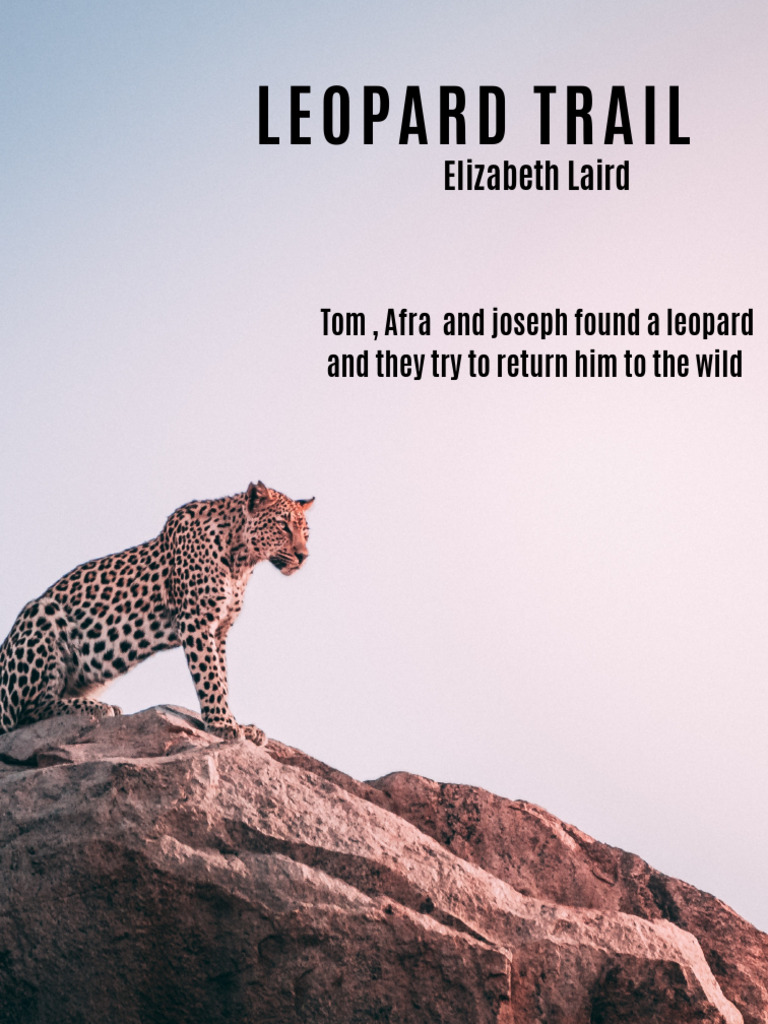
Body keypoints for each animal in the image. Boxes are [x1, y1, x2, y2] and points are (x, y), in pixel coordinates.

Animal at [0, 481, 313, 742]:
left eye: (306, 532)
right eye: (283, 526)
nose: (303, 556)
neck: (241, 561)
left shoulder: (220, 630)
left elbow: (222, 678)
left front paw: (237, 723)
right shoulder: (196, 621)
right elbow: (210, 676)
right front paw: (222, 724)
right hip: (41, 613)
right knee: (26, 712)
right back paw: (96, 707)